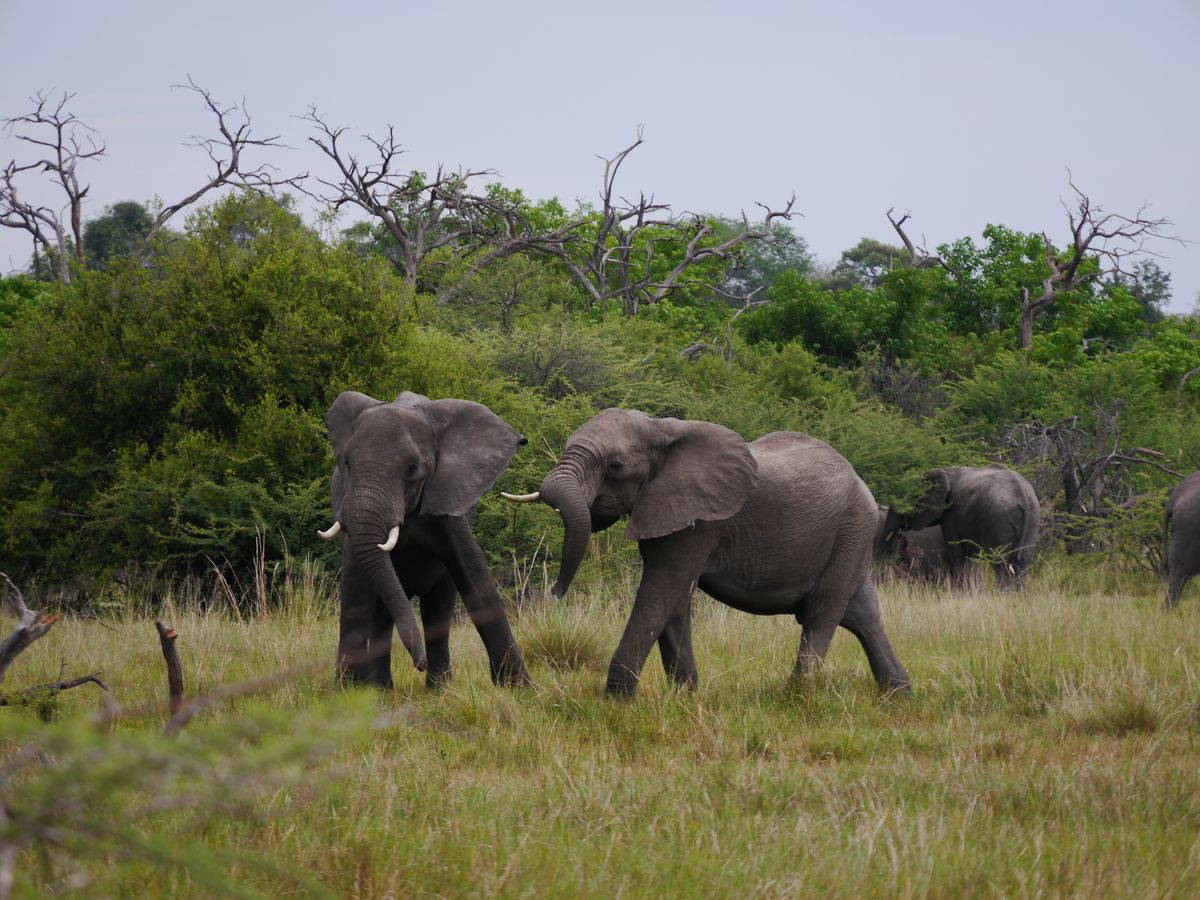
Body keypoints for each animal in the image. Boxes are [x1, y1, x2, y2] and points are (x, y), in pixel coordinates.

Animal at [317, 390, 529, 689]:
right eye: (346, 463)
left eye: (413, 468)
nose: (420, 663)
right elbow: (355, 592)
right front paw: (349, 690)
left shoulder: (447, 503)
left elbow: (476, 579)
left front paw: (521, 689)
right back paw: (383, 690)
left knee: (437, 609)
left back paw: (438, 690)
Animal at [503, 409, 910, 697]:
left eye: (615, 466)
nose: (554, 592)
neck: (663, 430)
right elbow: (674, 601)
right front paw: (685, 696)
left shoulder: (698, 521)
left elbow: (660, 591)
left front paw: (616, 701)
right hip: (851, 538)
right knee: (860, 612)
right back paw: (898, 694)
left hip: (852, 528)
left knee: (822, 612)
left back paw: (797, 695)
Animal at [880, 464, 1039, 589]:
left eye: (904, 502)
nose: (901, 536)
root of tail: (1023, 495)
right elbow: (971, 556)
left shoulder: (952, 514)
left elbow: (957, 553)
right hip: (1033, 519)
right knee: (1023, 564)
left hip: (1000, 518)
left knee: (1001, 565)